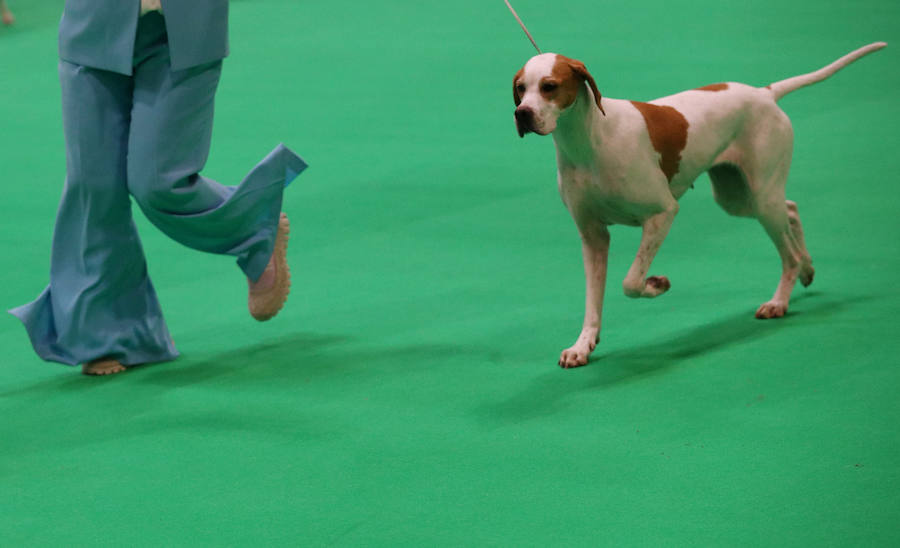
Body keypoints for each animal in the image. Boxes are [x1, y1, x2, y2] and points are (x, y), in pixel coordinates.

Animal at [512, 42, 884, 368]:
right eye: (519, 89)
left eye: (549, 87)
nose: (522, 114)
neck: (588, 141)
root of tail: (763, 93)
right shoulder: (592, 236)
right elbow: (593, 301)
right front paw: (583, 346)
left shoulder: (661, 214)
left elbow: (630, 282)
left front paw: (656, 284)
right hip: (738, 198)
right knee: (791, 210)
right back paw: (806, 268)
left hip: (761, 197)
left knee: (787, 251)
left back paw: (779, 300)